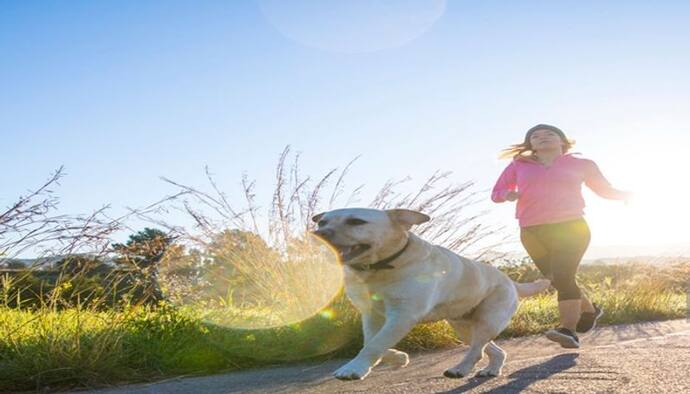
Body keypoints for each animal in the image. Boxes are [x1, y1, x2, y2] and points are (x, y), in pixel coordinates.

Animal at [312, 208, 548, 380]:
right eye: (322, 222)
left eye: (356, 222)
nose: (318, 234)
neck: (380, 268)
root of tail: (511, 281)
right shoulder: (372, 314)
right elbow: (371, 341)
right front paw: (398, 357)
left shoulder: (403, 315)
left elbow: (375, 343)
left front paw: (354, 368)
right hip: (464, 327)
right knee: (492, 350)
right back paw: (491, 369)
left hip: (488, 321)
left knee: (477, 350)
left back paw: (460, 369)